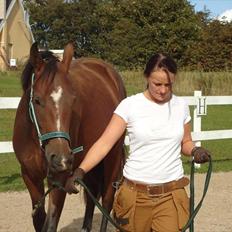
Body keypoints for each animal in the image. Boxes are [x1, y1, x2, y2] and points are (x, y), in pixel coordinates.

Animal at [12, 42, 126, 231]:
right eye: (37, 100)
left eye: (73, 100)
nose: (61, 159)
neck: (38, 141)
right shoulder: (30, 176)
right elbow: (39, 220)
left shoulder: (60, 180)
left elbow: (50, 223)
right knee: (92, 193)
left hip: (112, 155)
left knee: (107, 200)